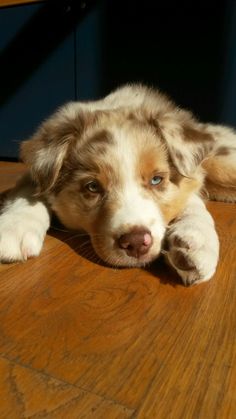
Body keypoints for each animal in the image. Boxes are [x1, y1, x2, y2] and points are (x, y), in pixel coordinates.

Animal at [0, 85, 236, 286]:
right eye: (92, 187)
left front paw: (195, 241)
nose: (136, 243)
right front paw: (14, 227)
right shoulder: (35, 173)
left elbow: (191, 202)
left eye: (156, 179)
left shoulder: (191, 174)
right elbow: (29, 194)